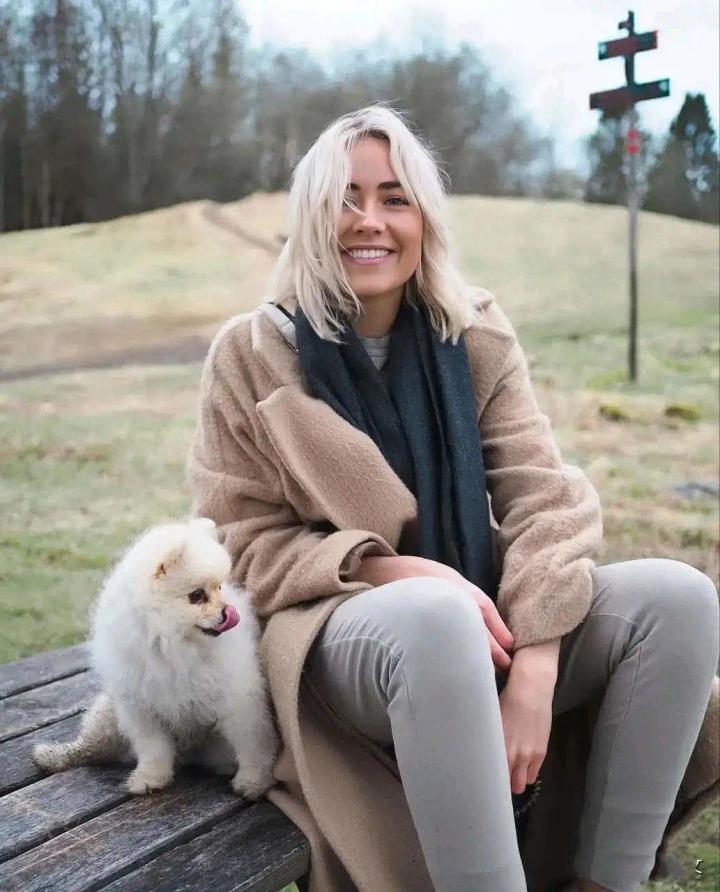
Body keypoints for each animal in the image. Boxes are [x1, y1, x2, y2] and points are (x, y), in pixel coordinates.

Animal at [32, 517, 279, 799]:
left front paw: (253, 782)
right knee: (89, 749)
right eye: (197, 595)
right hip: (109, 715)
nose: (229, 612)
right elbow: (153, 750)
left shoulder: (238, 700)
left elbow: (253, 744)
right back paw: (54, 757)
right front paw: (150, 778)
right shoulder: (141, 707)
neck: (172, 644)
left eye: (219, 587)